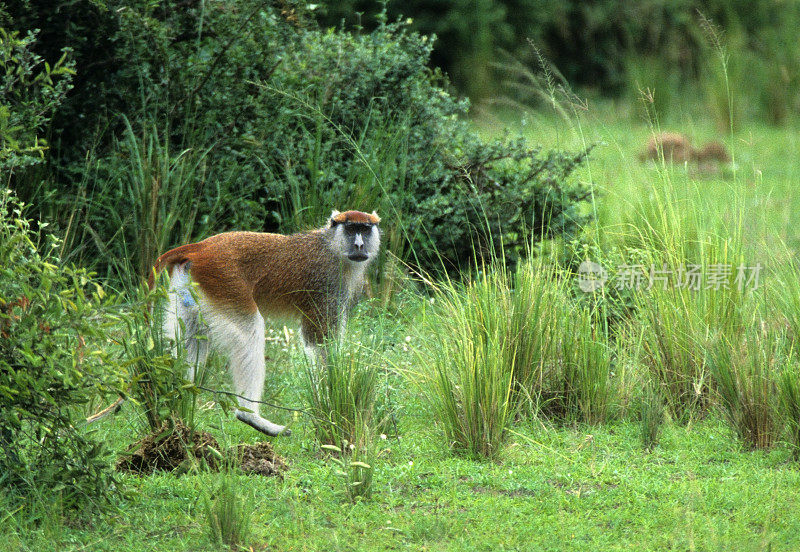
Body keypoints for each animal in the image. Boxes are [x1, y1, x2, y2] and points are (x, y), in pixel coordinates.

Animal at [151, 210, 382, 436]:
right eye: (351, 229)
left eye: (365, 229)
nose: (359, 245)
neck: (331, 245)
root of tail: (200, 248)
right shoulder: (326, 283)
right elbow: (318, 342)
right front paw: (331, 399)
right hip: (223, 281)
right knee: (248, 330)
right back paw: (250, 416)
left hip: (189, 287)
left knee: (192, 335)